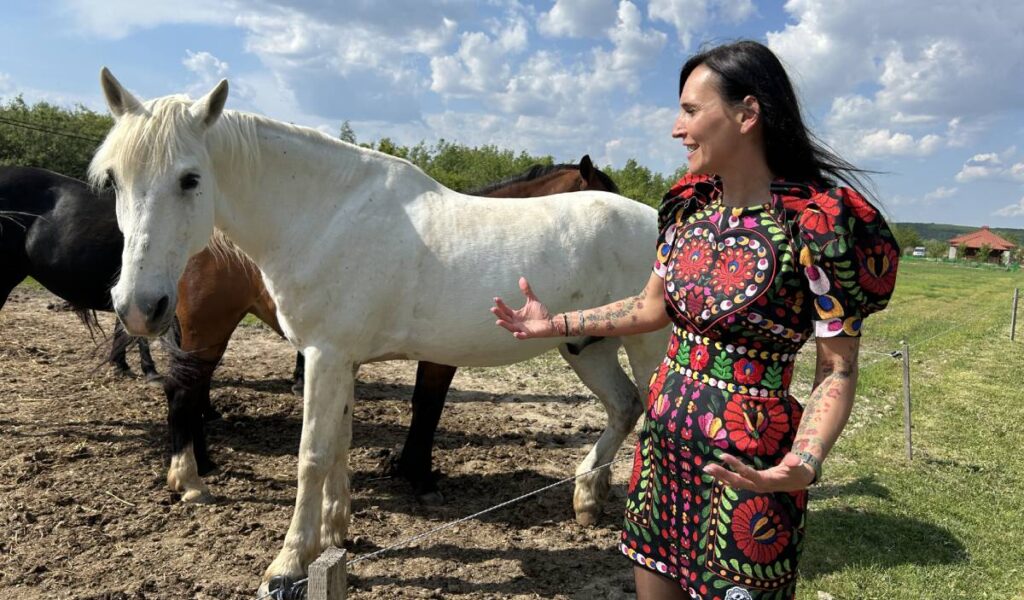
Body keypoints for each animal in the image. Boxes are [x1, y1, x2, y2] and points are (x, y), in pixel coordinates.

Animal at [162, 155, 621, 505]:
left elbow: (424, 405)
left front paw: (407, 468)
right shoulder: (439, 359)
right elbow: (428, 406)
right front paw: (418, 473)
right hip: (209, 330)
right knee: (183, 392)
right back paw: (194, 474)